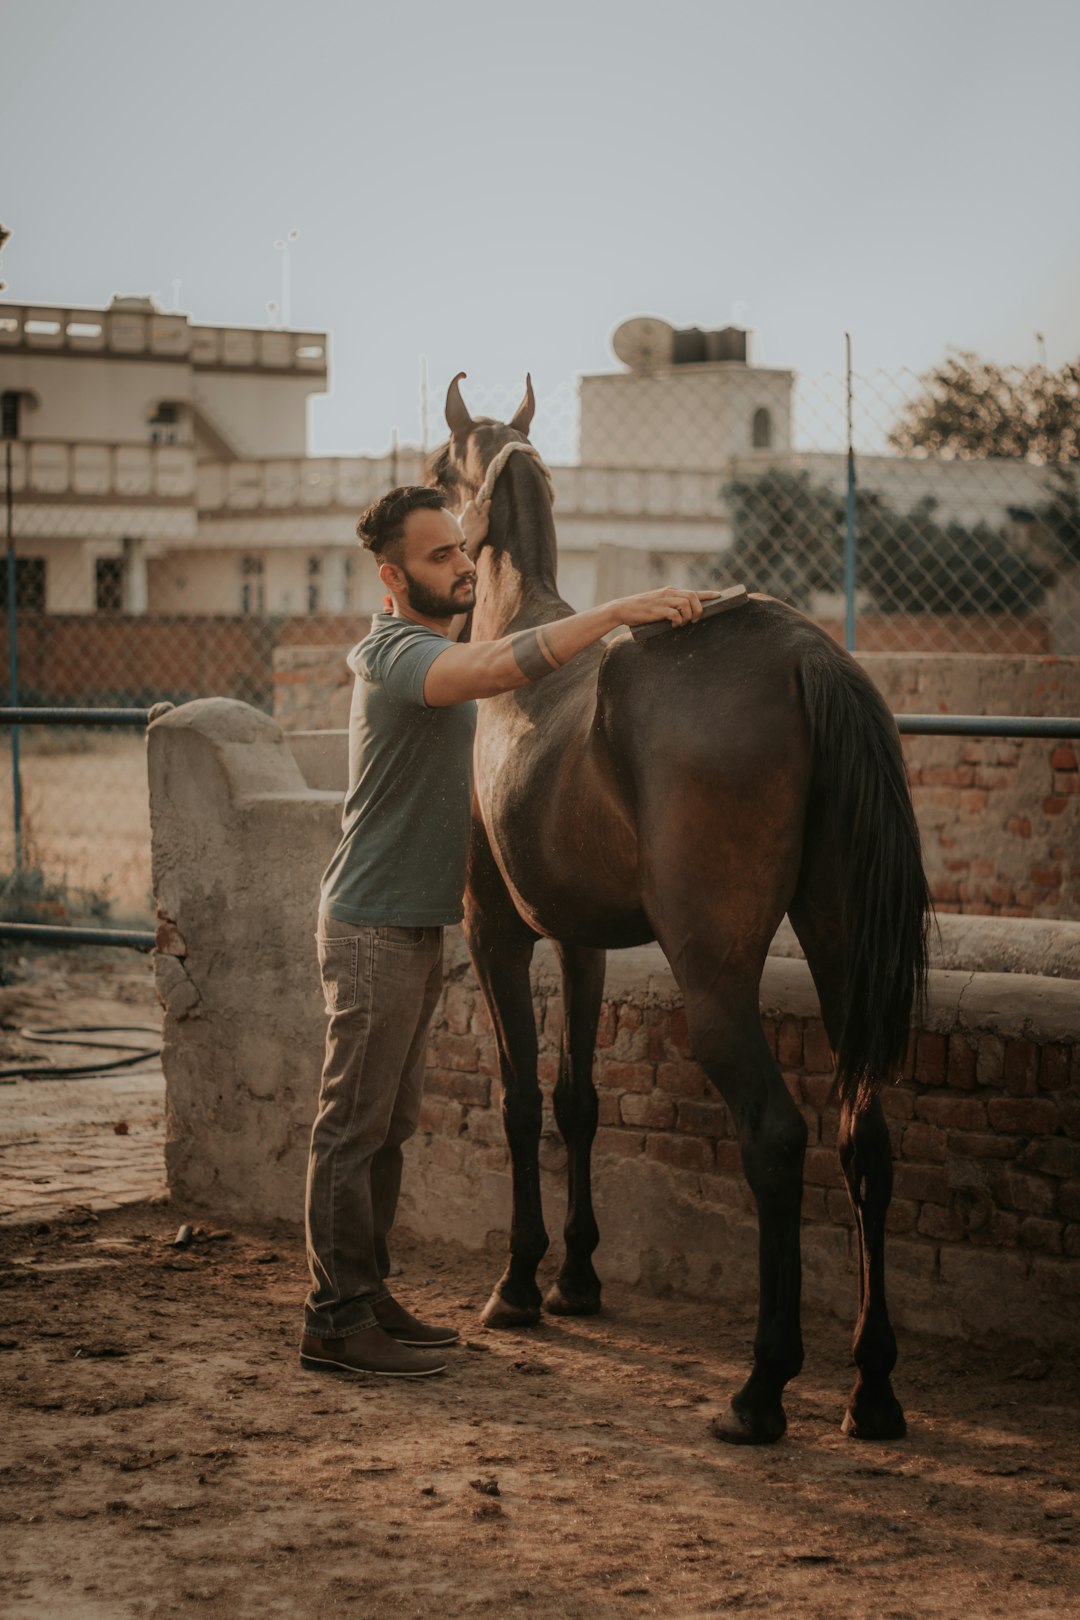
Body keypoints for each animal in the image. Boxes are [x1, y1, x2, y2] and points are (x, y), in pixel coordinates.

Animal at [427, 370, 932, 1445]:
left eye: (436, 475)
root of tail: (806, 655)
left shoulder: (497, 932)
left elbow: (520, 1098)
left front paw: (519, 1284)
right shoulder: (580, 942)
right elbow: (578, 1101)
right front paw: (578, 1277)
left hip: (714, 980)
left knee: (777, 1138)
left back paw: (761, 1389)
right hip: (840, 957)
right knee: (864, 1142)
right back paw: (870, 1389)